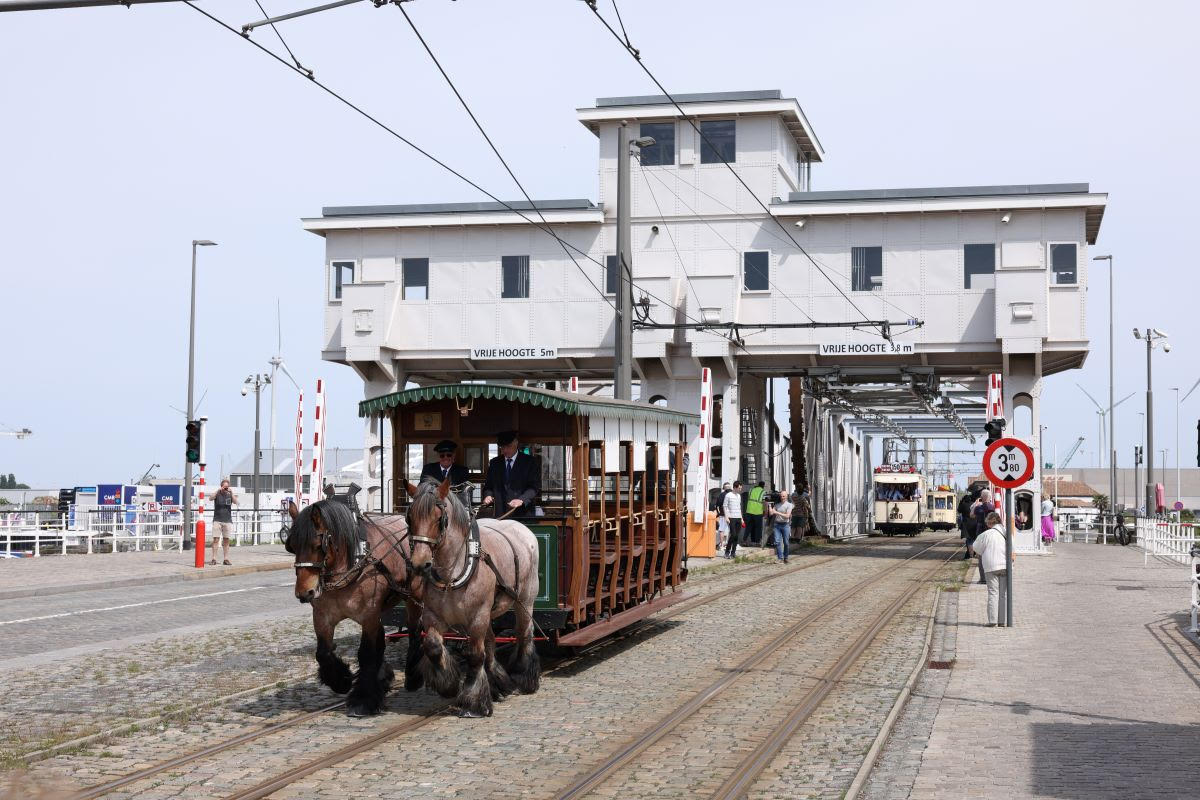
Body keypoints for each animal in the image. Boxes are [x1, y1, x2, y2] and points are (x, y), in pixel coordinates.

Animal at [285, 496, 422, 714]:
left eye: (318, 545)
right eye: (291, 545)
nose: (304, 593)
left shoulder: (368, 615)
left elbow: (367, 653)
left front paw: (363, 700)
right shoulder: (322, 617)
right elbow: (323, 652)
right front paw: (342, 681)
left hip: (412, 598)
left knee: (415, 631)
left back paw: (413, 676)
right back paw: (383, 677)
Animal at [405, 479, 542, 714]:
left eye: (439, 519)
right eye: (410, 517)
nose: (420, 564)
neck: (452, 571)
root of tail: (520, 527)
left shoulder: (477, 616)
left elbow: (475, 655)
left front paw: (473, 701)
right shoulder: (432, 616)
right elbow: (432, 646)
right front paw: (448, 685)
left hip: (524, 599)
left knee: (524, 633)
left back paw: (524, 677)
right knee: (491, 642)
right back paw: (498, 683)